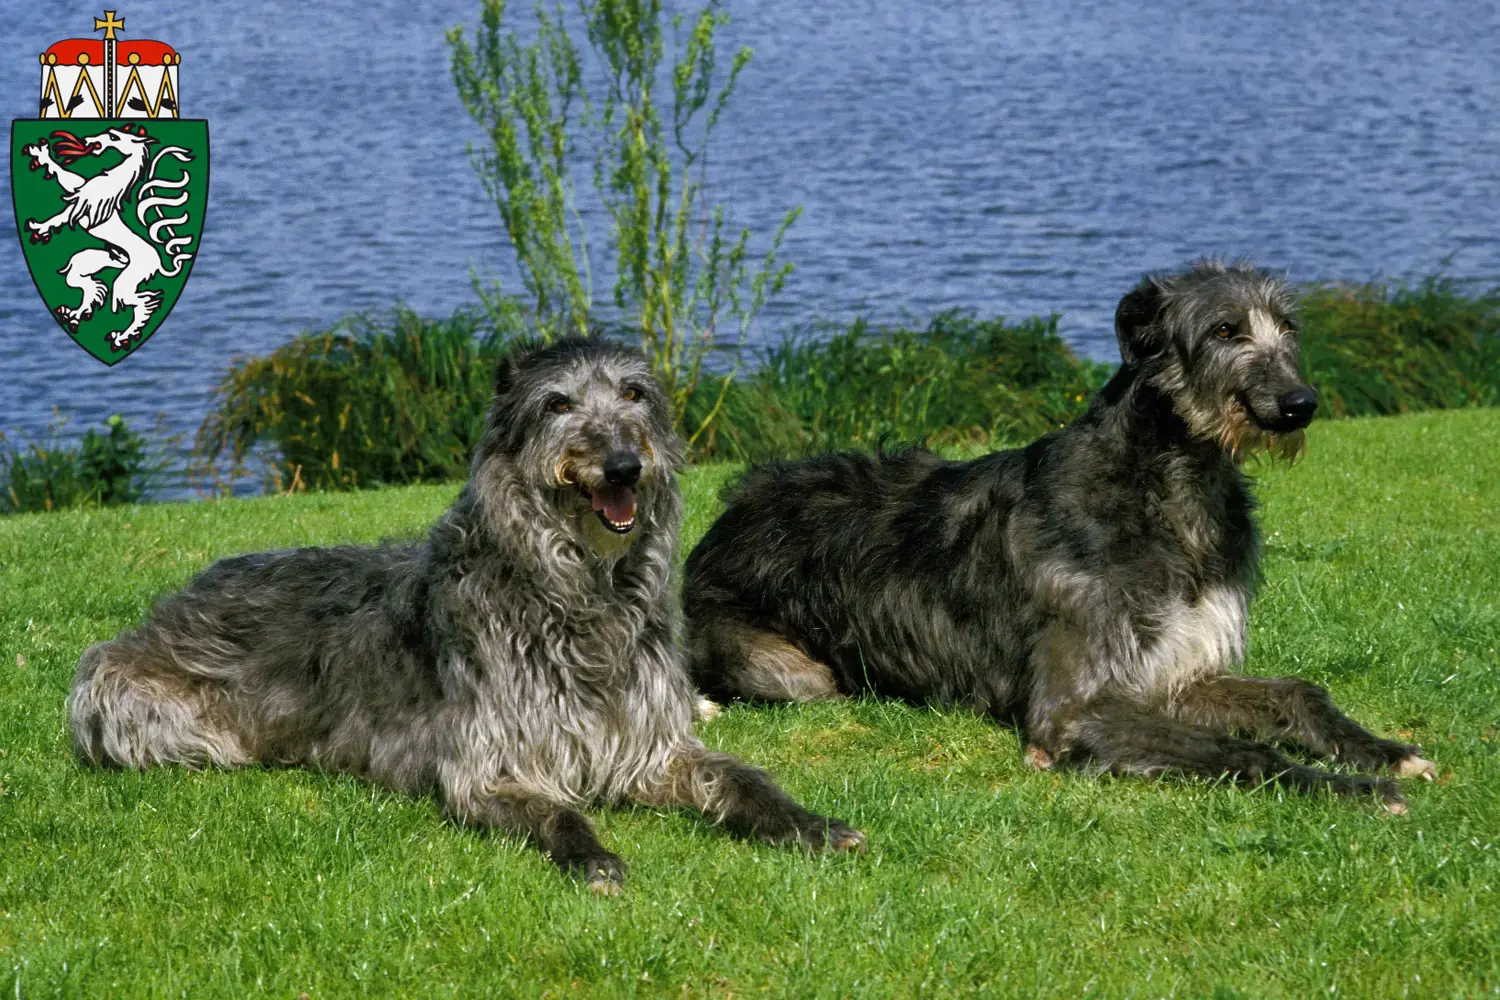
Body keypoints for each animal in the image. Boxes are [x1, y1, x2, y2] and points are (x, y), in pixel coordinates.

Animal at [70, 338, 870, 893]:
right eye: (557, 404)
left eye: (635, 393)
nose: (623, 465)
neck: (576, 595)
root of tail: (178, 596)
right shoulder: (488, 767)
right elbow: (556, 810)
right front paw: (593, 857)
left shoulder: (650, 746)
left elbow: (741, 781)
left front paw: (810, 824)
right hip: (138, 706)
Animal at [690, 260, 1440, 815]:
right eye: (1224, 330)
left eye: (1288, 326)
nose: (1298, 405)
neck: (1167, 488)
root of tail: (723, 521)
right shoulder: (1074, 706)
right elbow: (1233, 750)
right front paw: (1349, 786)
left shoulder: (1176, 672)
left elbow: (1295, 692)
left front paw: (1383, 751)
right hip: (791, 671)